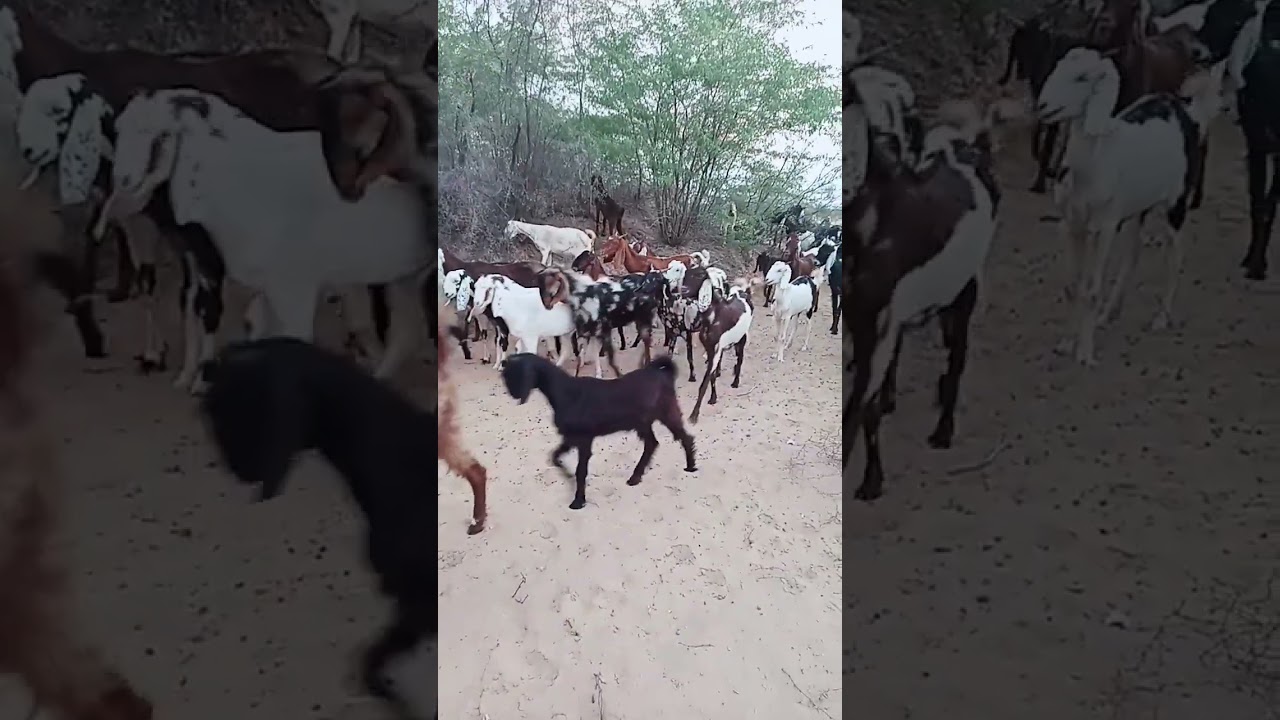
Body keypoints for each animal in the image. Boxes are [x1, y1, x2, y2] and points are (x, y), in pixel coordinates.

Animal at [94, 88, 430, 392]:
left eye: (157, 134)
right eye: (121, 130)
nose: (122, 182)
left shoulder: (294, 289)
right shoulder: (260, 285)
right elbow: (254, 327)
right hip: (404, 279)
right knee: (407, 332)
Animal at [500, 352, 696, 510]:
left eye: (516, 373)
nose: (514, 394)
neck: (565, 391)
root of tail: (662, 373)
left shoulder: (584, 440)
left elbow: (580, 470)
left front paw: (578, 501)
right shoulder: (571, 437)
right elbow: (555, 457)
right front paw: (568, 477)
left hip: (666, 413)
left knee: (684, 437)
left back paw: (690, 466)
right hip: (642, 423)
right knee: (652, 443)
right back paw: (636, 476)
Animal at [1037, 49, 1225, 365]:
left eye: (1082, 77)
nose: (1042, 106)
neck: (1096, 160)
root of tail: (1189, 114)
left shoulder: (1104, 227)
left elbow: (1091, 290)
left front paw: (1085, 353)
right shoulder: (1072, 224)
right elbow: (1074, 287)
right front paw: (1065, 343)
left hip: (1174, 206)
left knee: (1175, 256)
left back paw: (1161, 318)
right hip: (1137, 209)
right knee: (1133, 255)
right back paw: (1108, 314)